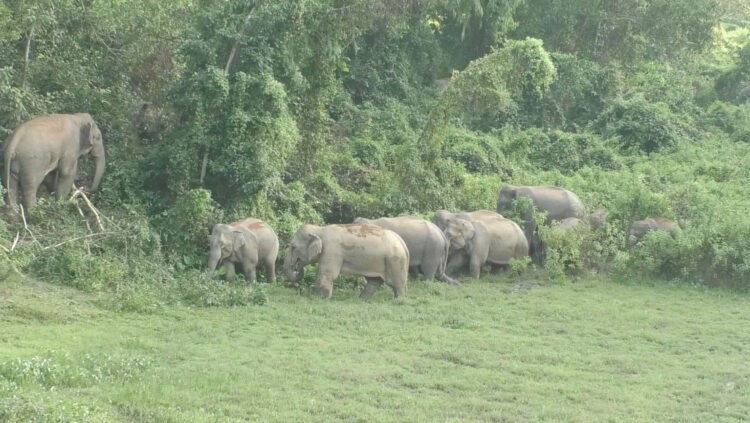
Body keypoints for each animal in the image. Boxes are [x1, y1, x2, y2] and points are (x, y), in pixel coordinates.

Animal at [284, 225, 412, 302]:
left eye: (293, 246)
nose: (297, 266)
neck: (320, 229)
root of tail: (402, 242)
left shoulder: (331, 251)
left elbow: (326, 273)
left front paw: (321, 299)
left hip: (395, 260)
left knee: (396, 283)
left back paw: (399, 301)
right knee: (374, 281)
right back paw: (361, 300)